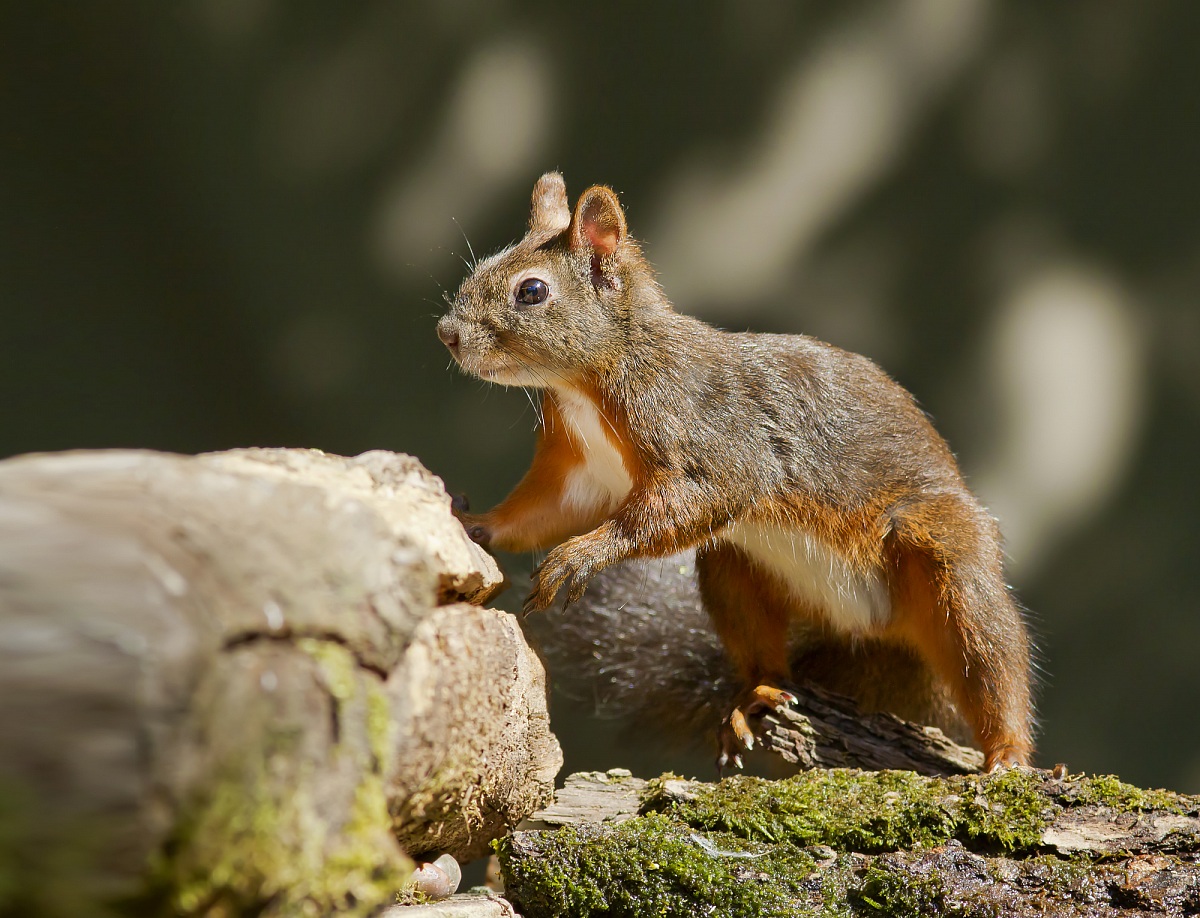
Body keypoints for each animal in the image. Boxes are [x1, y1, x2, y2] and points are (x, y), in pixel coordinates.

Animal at [436, 174, 1036, 772]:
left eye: (532, 291)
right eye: (484, 264)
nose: (446, 333)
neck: (588, 379)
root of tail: (867, 632)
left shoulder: (713, 433)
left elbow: (699, 496)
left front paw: (581, 554)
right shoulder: (582, 472)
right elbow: (548, 511)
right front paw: (473, 524)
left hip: (943, 556)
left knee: (989, 655)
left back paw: (1008, 754)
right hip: (734, 566)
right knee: (767, 656)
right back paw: (757, 696)